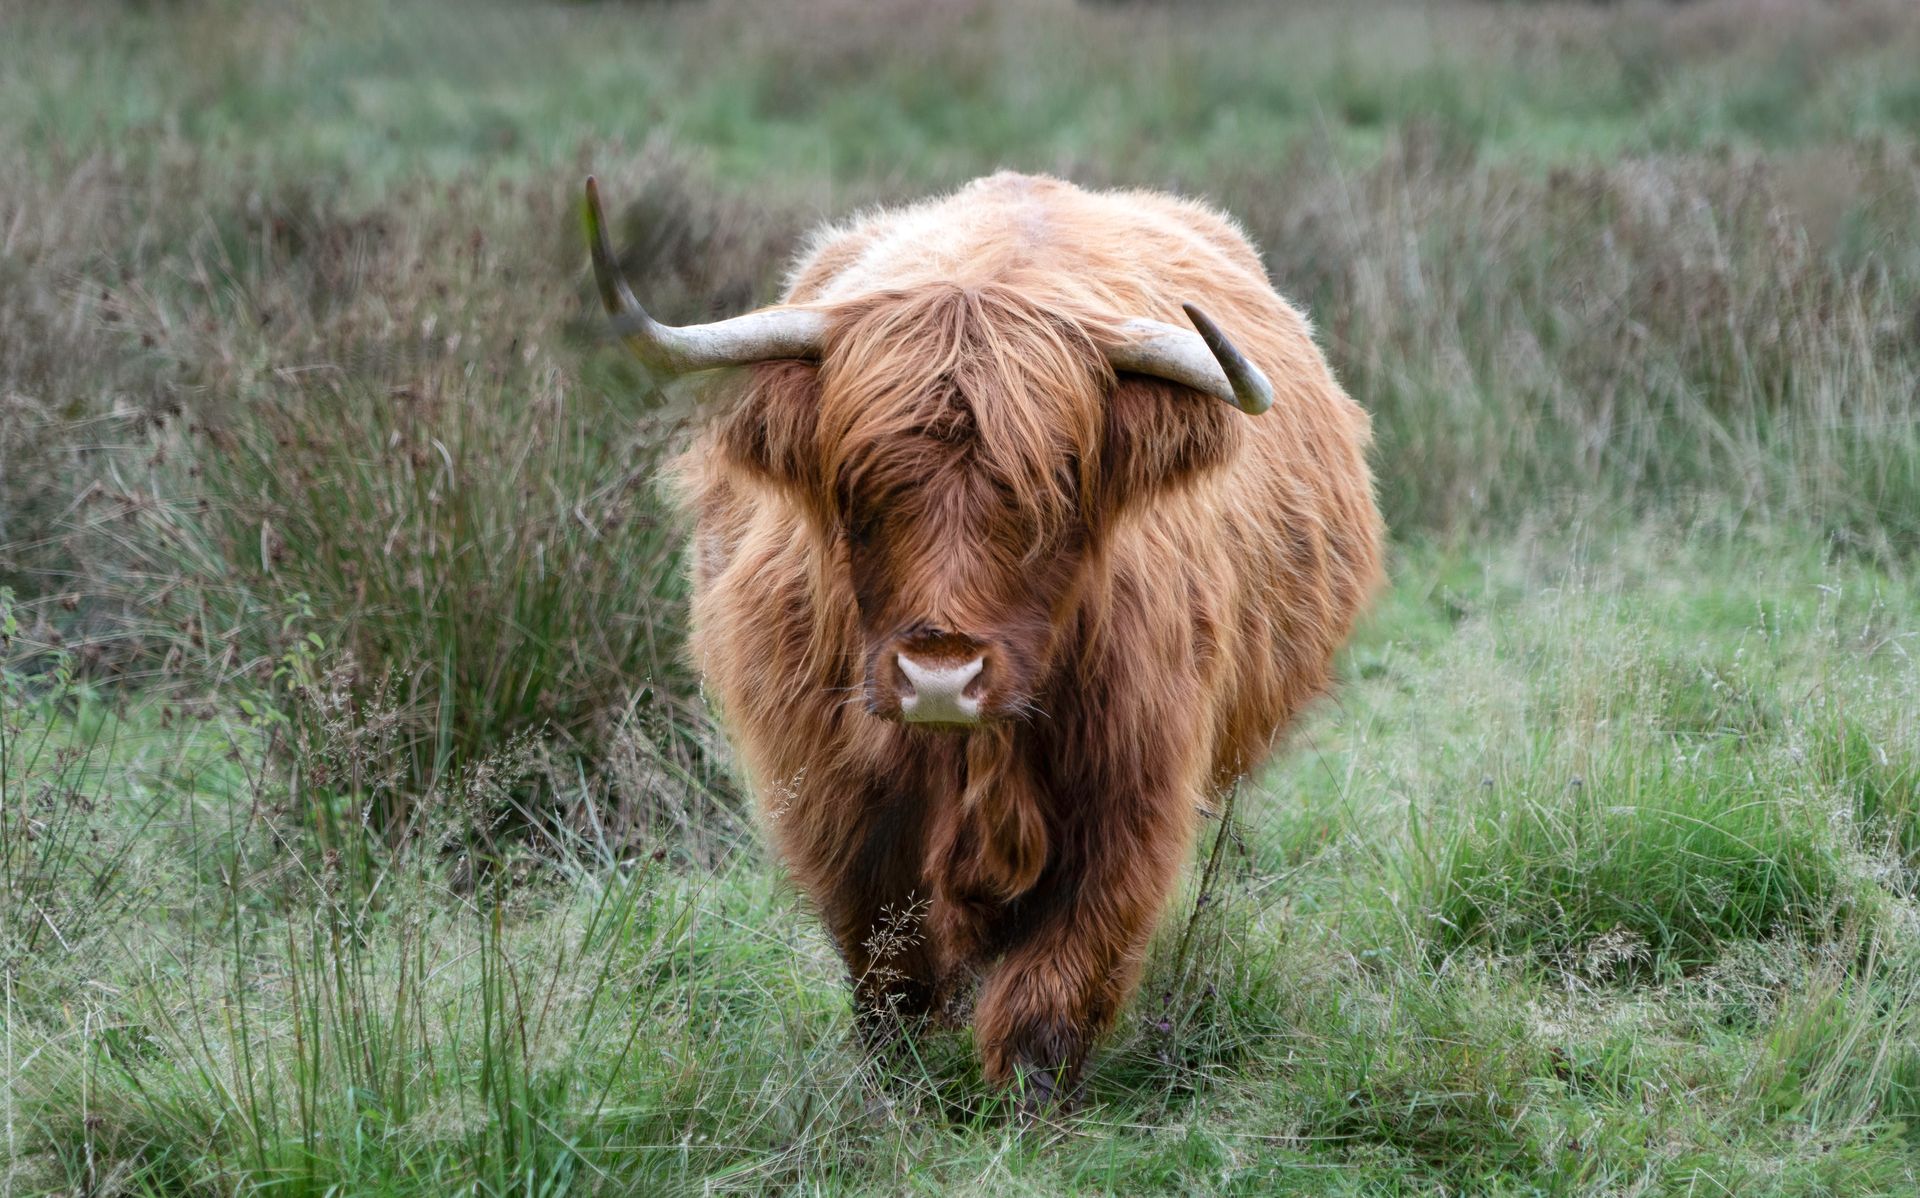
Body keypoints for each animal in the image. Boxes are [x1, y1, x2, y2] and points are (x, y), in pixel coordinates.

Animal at [584, 171, 1383, 1105]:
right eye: (854, 491)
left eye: (1058, 492)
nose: (939, 675)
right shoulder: (842, 806)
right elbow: (890, 970)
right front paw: (898, 1095)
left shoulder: (1131, 795)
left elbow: (1059, 978)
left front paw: (1028, 1107)